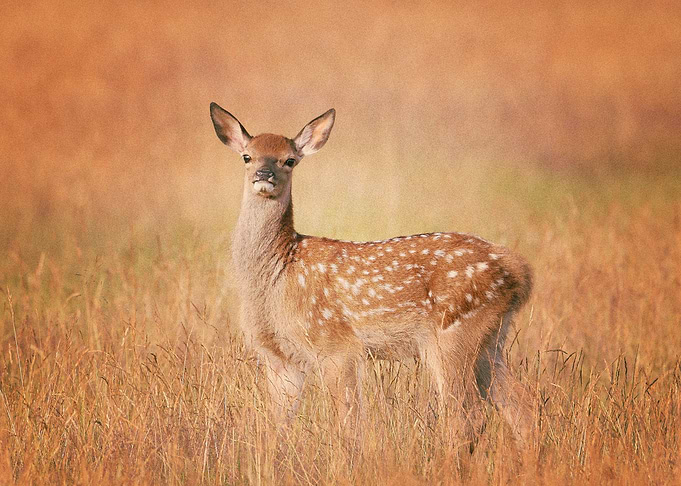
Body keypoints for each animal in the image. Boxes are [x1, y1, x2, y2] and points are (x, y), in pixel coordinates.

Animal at [210, 103, 535, 446]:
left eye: (289, 160)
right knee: (522, 407)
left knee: (467, 415)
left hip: (453, 333)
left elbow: (349, 424)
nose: (264, 175)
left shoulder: (336, 345)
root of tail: (518, 268)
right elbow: (276, 429)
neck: (276, 274)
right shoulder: (279, 357)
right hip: (491, 339)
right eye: (247, 156)